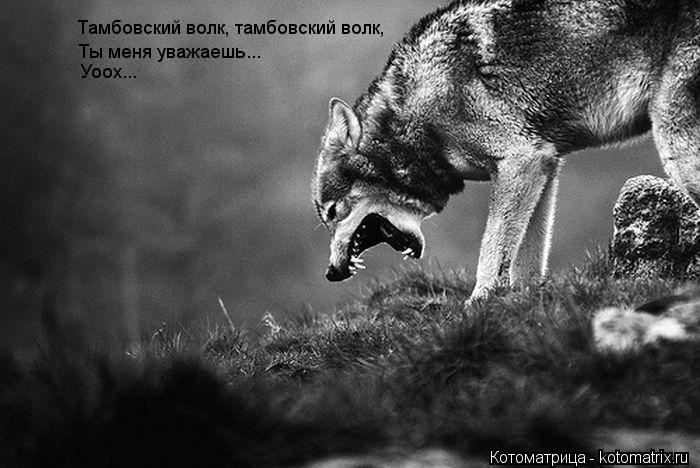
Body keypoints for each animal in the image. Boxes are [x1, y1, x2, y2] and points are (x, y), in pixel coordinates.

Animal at [312, 0, 700, 302]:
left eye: (331, 212)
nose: (330, 273)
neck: (413, 112)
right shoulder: (545, 164)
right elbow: (525, 258)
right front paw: (525, 305)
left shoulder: (521, 162)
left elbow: (492, 250)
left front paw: (478, 304)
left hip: (675, 144)